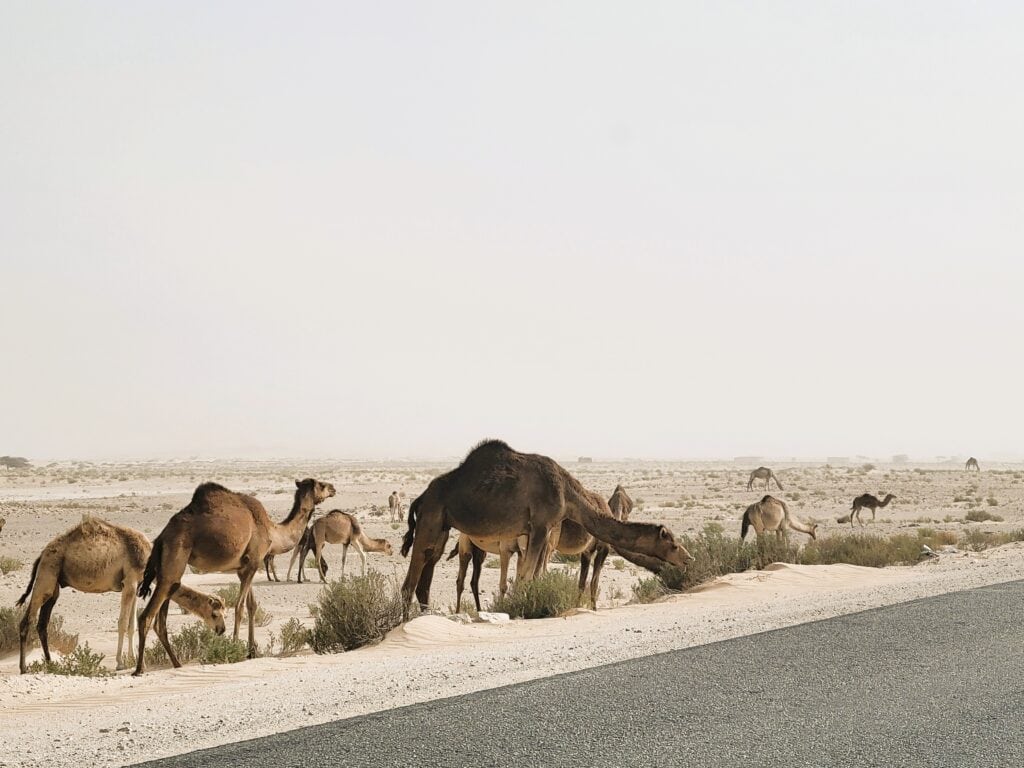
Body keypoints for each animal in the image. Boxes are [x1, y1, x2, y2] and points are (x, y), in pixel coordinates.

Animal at [15, 517, 226, 673]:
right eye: (215, 614)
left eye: (225, 613)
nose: (222, 630)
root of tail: (41, 555)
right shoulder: (130, 581)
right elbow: (123, 623)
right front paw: (120, 663)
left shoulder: (136, 584)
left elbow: (132, 625)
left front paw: (135, 661)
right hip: (46, 576)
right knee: (27, 621)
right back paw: (24, 668)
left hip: (55, 585)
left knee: (42, 624)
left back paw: (50, 665)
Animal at [133, 477, 335, 675]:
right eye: (321, 485)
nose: (333, 488)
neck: (273, 532)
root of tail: (161, 537)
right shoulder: (252, 563)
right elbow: (239, 607)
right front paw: (234, 649)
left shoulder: (245, 567)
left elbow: (252, 606)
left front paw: (252, 652)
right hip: (175, 557)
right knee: (146, 616)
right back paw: (139, 669)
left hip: (167, 569)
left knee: (160, 620)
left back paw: (177, 664)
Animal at [399, 440, 693, 613]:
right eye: (672, 543)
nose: (688, 558)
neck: (569, 494)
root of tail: (420, 497)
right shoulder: (540, 526)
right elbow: (526, 576)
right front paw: (520, 611)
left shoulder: (543, 530)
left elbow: (529, 575)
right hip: (431, 517)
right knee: (412, 577)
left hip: (442, 526)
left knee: (428, 567)